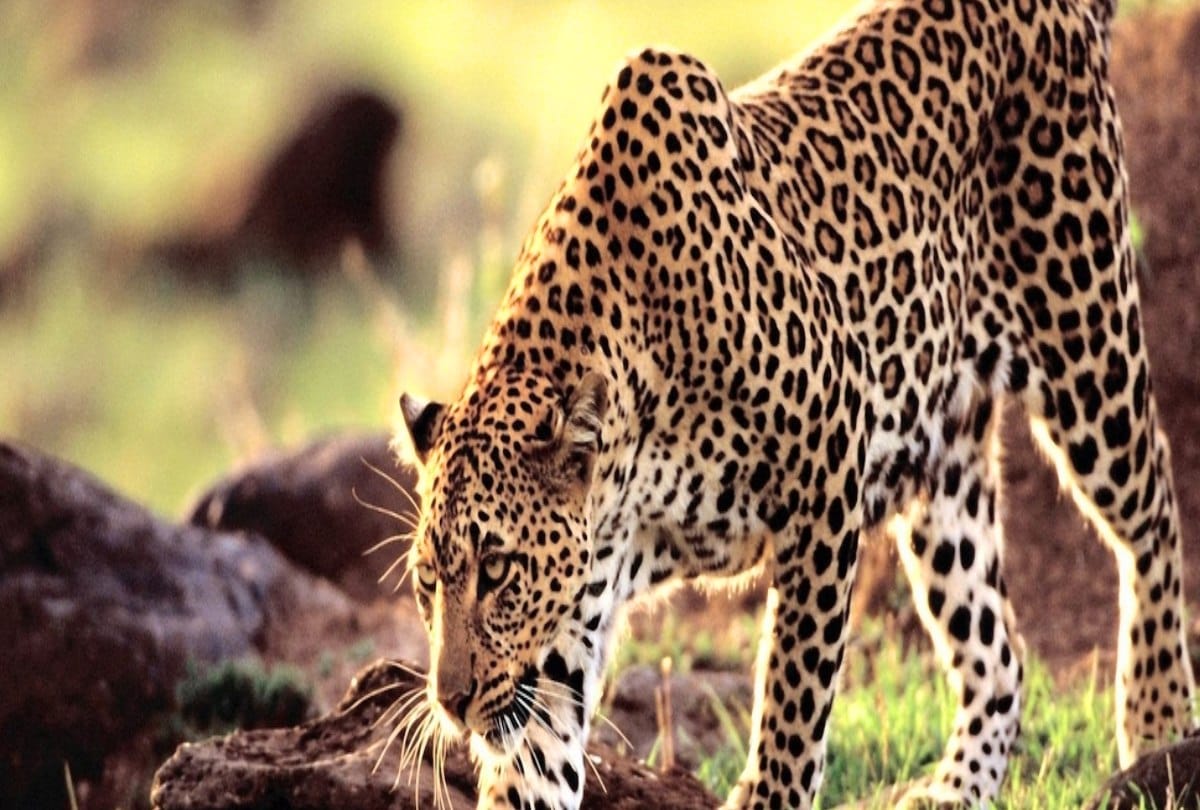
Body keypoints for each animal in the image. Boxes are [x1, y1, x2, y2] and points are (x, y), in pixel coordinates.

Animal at [396, 0, 1196, 806]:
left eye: (497, 570)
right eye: (429, 581)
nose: (452, 702)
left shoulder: (827, 477)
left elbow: (792, 702)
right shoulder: (563, 629)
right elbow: (533, 764)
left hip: (1085, 344)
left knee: (1153, 511)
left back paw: (1157, 722)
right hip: (943, 464)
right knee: (996, 647)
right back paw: (956, 785)